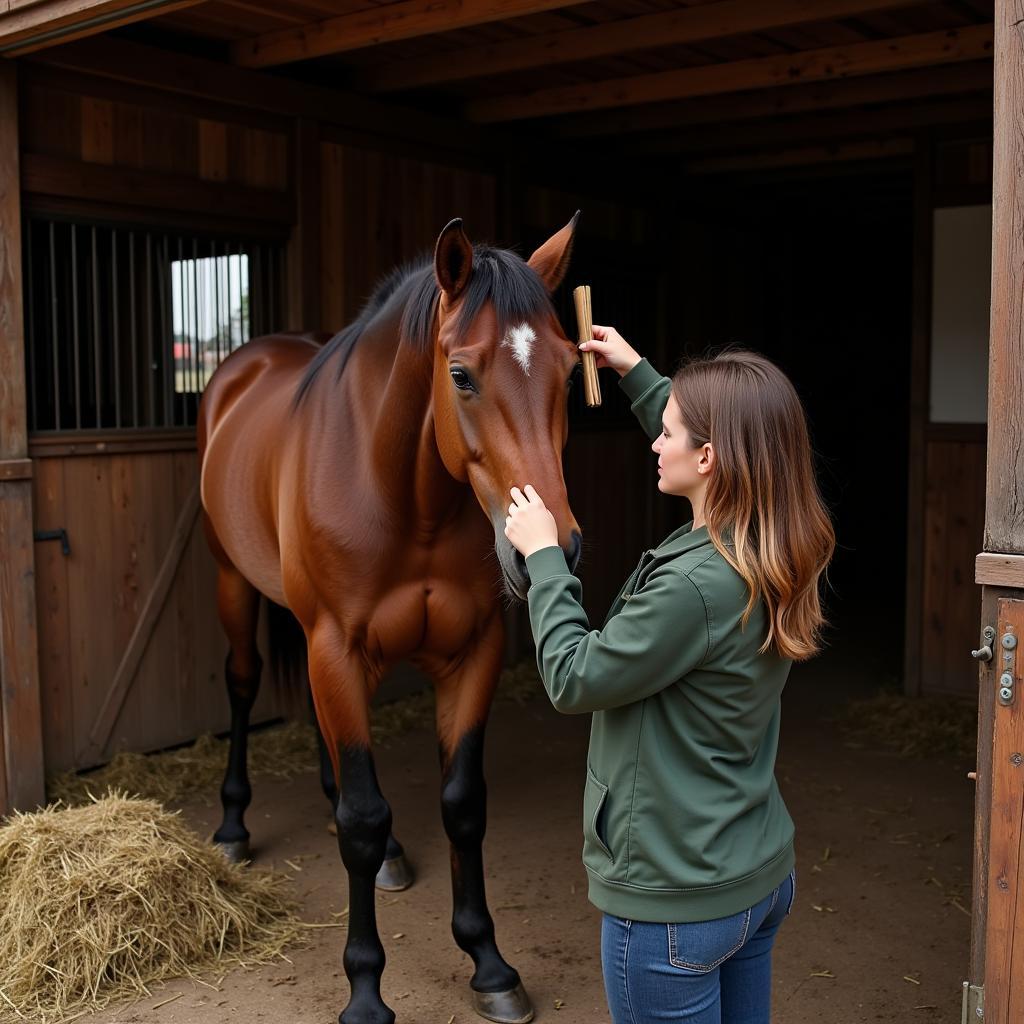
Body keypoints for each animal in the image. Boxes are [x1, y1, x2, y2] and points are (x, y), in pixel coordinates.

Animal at [197, 216, 585, 1024]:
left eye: (569, 373)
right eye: (461, 375)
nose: (553, 549)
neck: (406, 498)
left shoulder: (472, 653)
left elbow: (462, 804)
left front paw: (490, 964)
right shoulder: (337, 651)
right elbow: (362, 821)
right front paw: (366, 991)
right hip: (233, 583)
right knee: (243, 684)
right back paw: (232, 828)